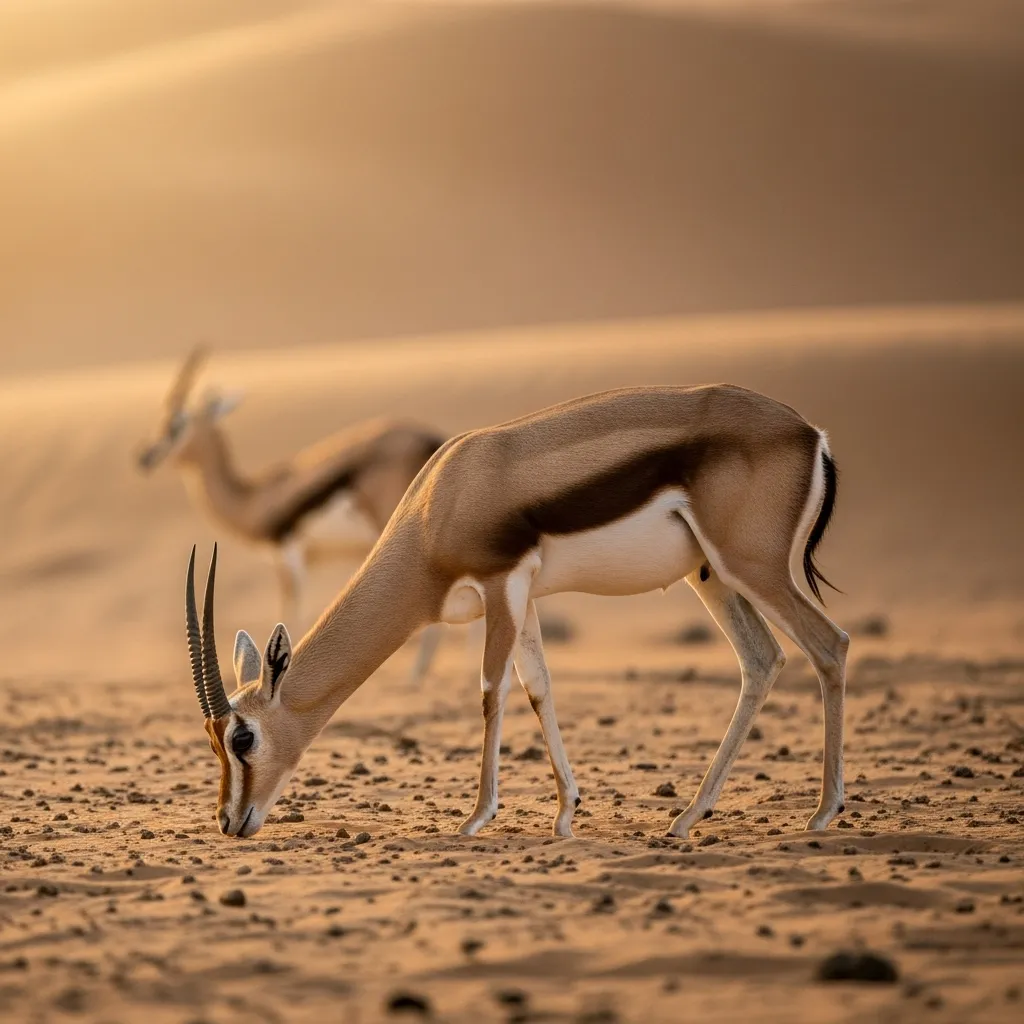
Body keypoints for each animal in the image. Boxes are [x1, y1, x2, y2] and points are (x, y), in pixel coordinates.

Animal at [139, 347, 447, 681]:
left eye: (177, 424)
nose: (145, 457)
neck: (255, 497)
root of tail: (432, 440)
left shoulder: (291, 558)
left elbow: (292, 618)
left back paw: (415, 676)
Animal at [185, 384, 848, 841]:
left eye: (243, 736)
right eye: (213, 739)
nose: (229, 821)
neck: (438, 503)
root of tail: (810, 433)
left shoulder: (501, 583)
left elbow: (491, 689)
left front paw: (476, 818)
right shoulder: (524, 595)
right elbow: (538, 687)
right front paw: (565, 815)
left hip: (751, 568)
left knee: (829, 645)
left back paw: (822, 814)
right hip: (711, 574)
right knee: (761, 661)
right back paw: (687, 817)